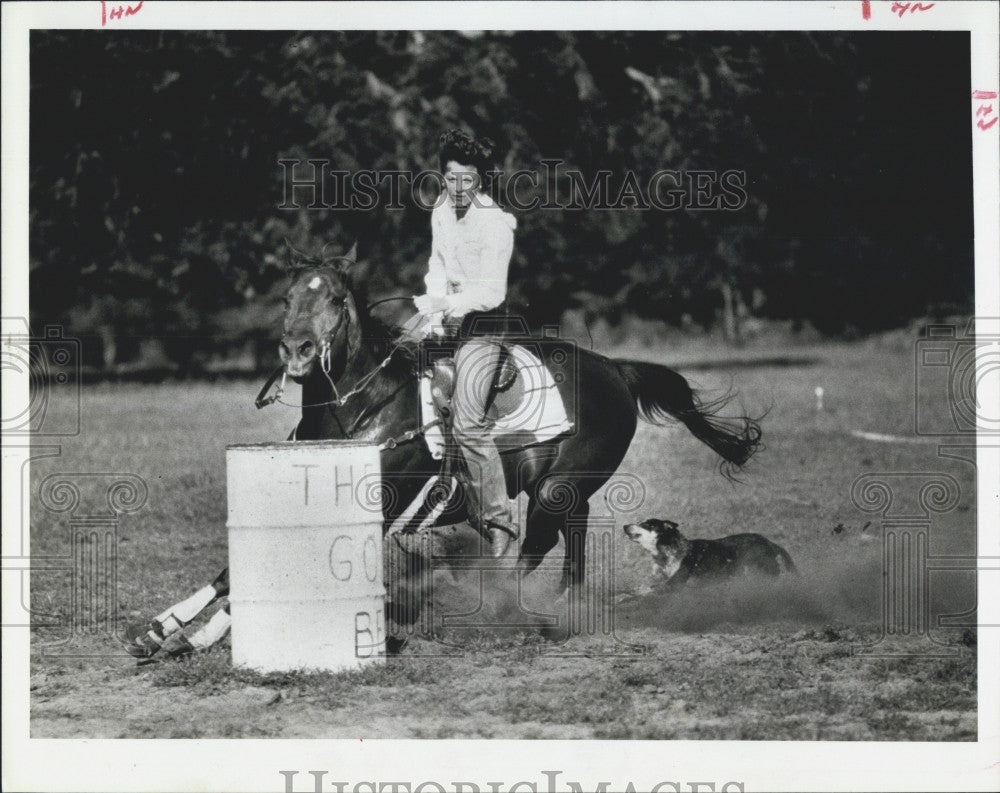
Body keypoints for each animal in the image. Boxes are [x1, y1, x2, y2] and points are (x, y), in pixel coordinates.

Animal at [129, 246, 760, 656]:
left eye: (335, 297)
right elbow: (229, 572)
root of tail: (614, 368)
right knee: (571, 543)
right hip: (563, 489)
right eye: (286, 297)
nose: (298, 350)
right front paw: (166, 630)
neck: (363, 408)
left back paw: (496, 611)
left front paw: (197, 634)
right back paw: (562, 608)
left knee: (532, 545)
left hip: (557, 489)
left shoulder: (383, 502)